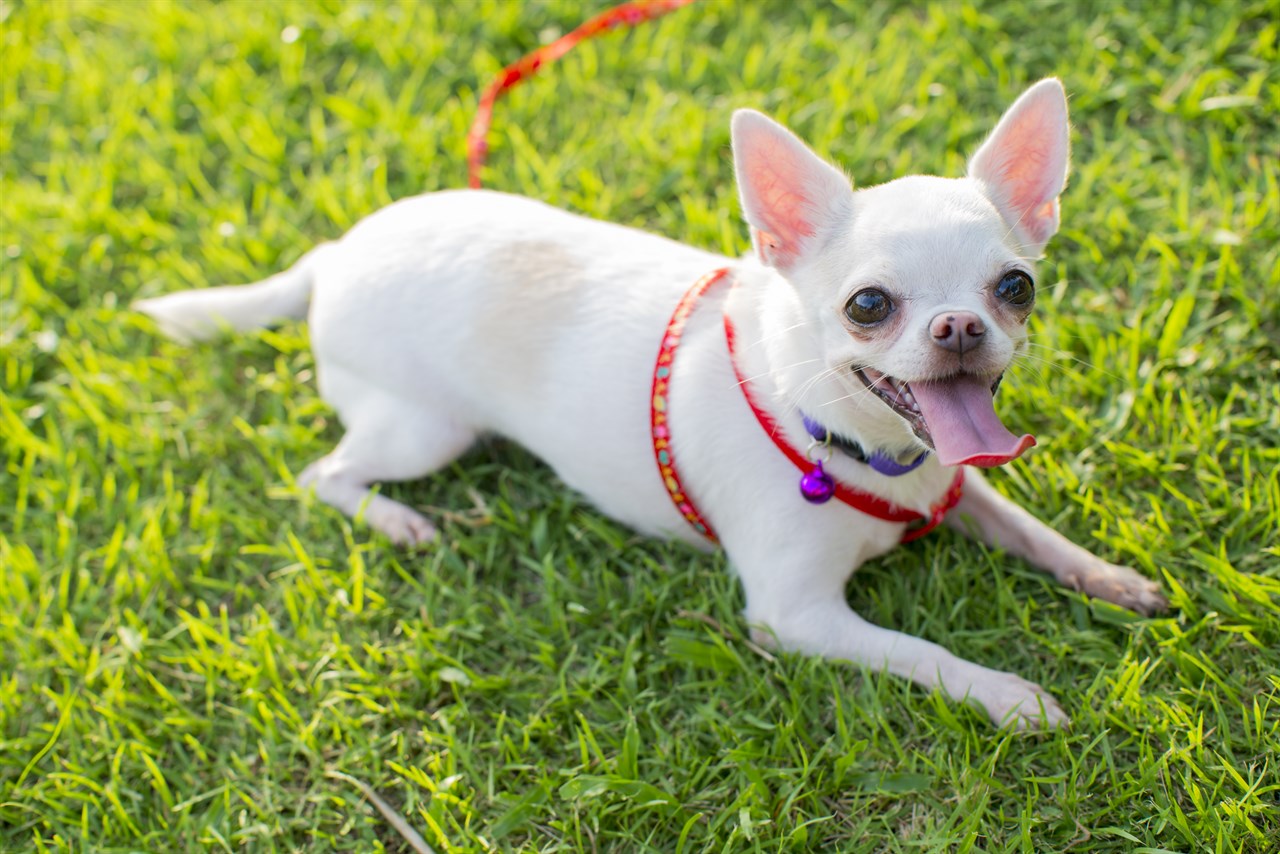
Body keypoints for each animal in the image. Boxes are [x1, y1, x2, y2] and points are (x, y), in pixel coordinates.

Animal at [140, 80, 1172, 732]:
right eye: (868, 307)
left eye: (1015, 288)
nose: (961, 327)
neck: (856, 446)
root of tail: (333, 255)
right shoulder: (796, 617)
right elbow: (922, 653)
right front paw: (1007, 696)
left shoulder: (961, 488)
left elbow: (1030, 530)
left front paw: (1110, 578)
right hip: (425, 430)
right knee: (325, 471)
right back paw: (396, 521)